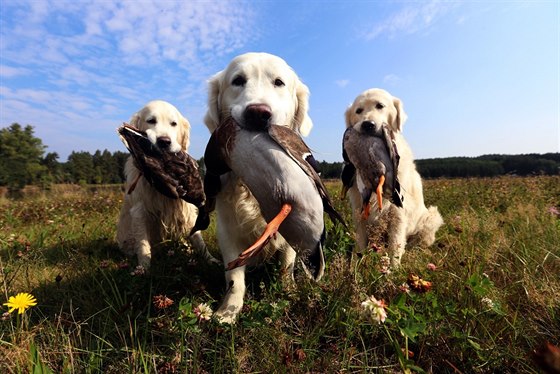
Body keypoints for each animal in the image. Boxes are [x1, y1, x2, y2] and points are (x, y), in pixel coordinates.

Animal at [116, 99, 217, 268]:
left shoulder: (187, 211)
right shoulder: (139, 211)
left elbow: (198, 239)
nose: (164, 141)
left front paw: (211, 260)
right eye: (151, 120)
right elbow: (143, 245)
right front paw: (143, 268)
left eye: (173, 123)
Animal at [203, 51, 312, 322]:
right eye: (238, 81)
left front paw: (288, 291)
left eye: (279, 82)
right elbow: (234, 277)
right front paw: (228, 311)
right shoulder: (228, 231)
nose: (258, 113)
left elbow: (287, 264)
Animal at [346, 88, 442, 266]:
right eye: (358, 110)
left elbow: (395, 245)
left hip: (431, 217)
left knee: (415, 243)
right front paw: (355, 267)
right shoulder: (359, 211)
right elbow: (360, 243)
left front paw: (393, 269)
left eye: (380, 105)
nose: (367, 124)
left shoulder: (397, 213)